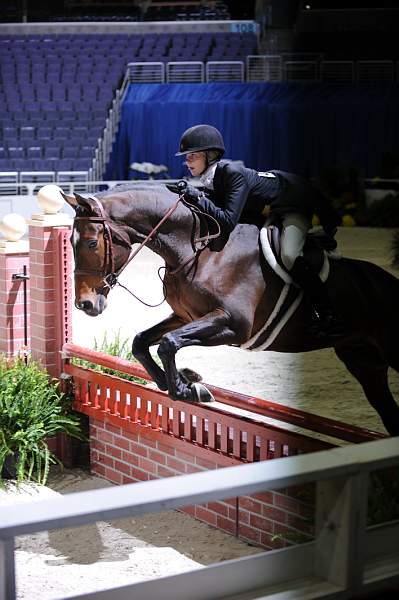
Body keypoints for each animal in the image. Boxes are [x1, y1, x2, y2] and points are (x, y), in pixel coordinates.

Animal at [62, 183, 399, 436]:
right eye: (70, 242)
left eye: (91, 243)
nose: (85, 304)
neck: (195, 249)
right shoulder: (185, 317)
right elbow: (142, 342)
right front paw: (184, 381)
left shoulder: (233, 325)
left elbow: (168, 344)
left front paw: (187, 388)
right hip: (364, 361)